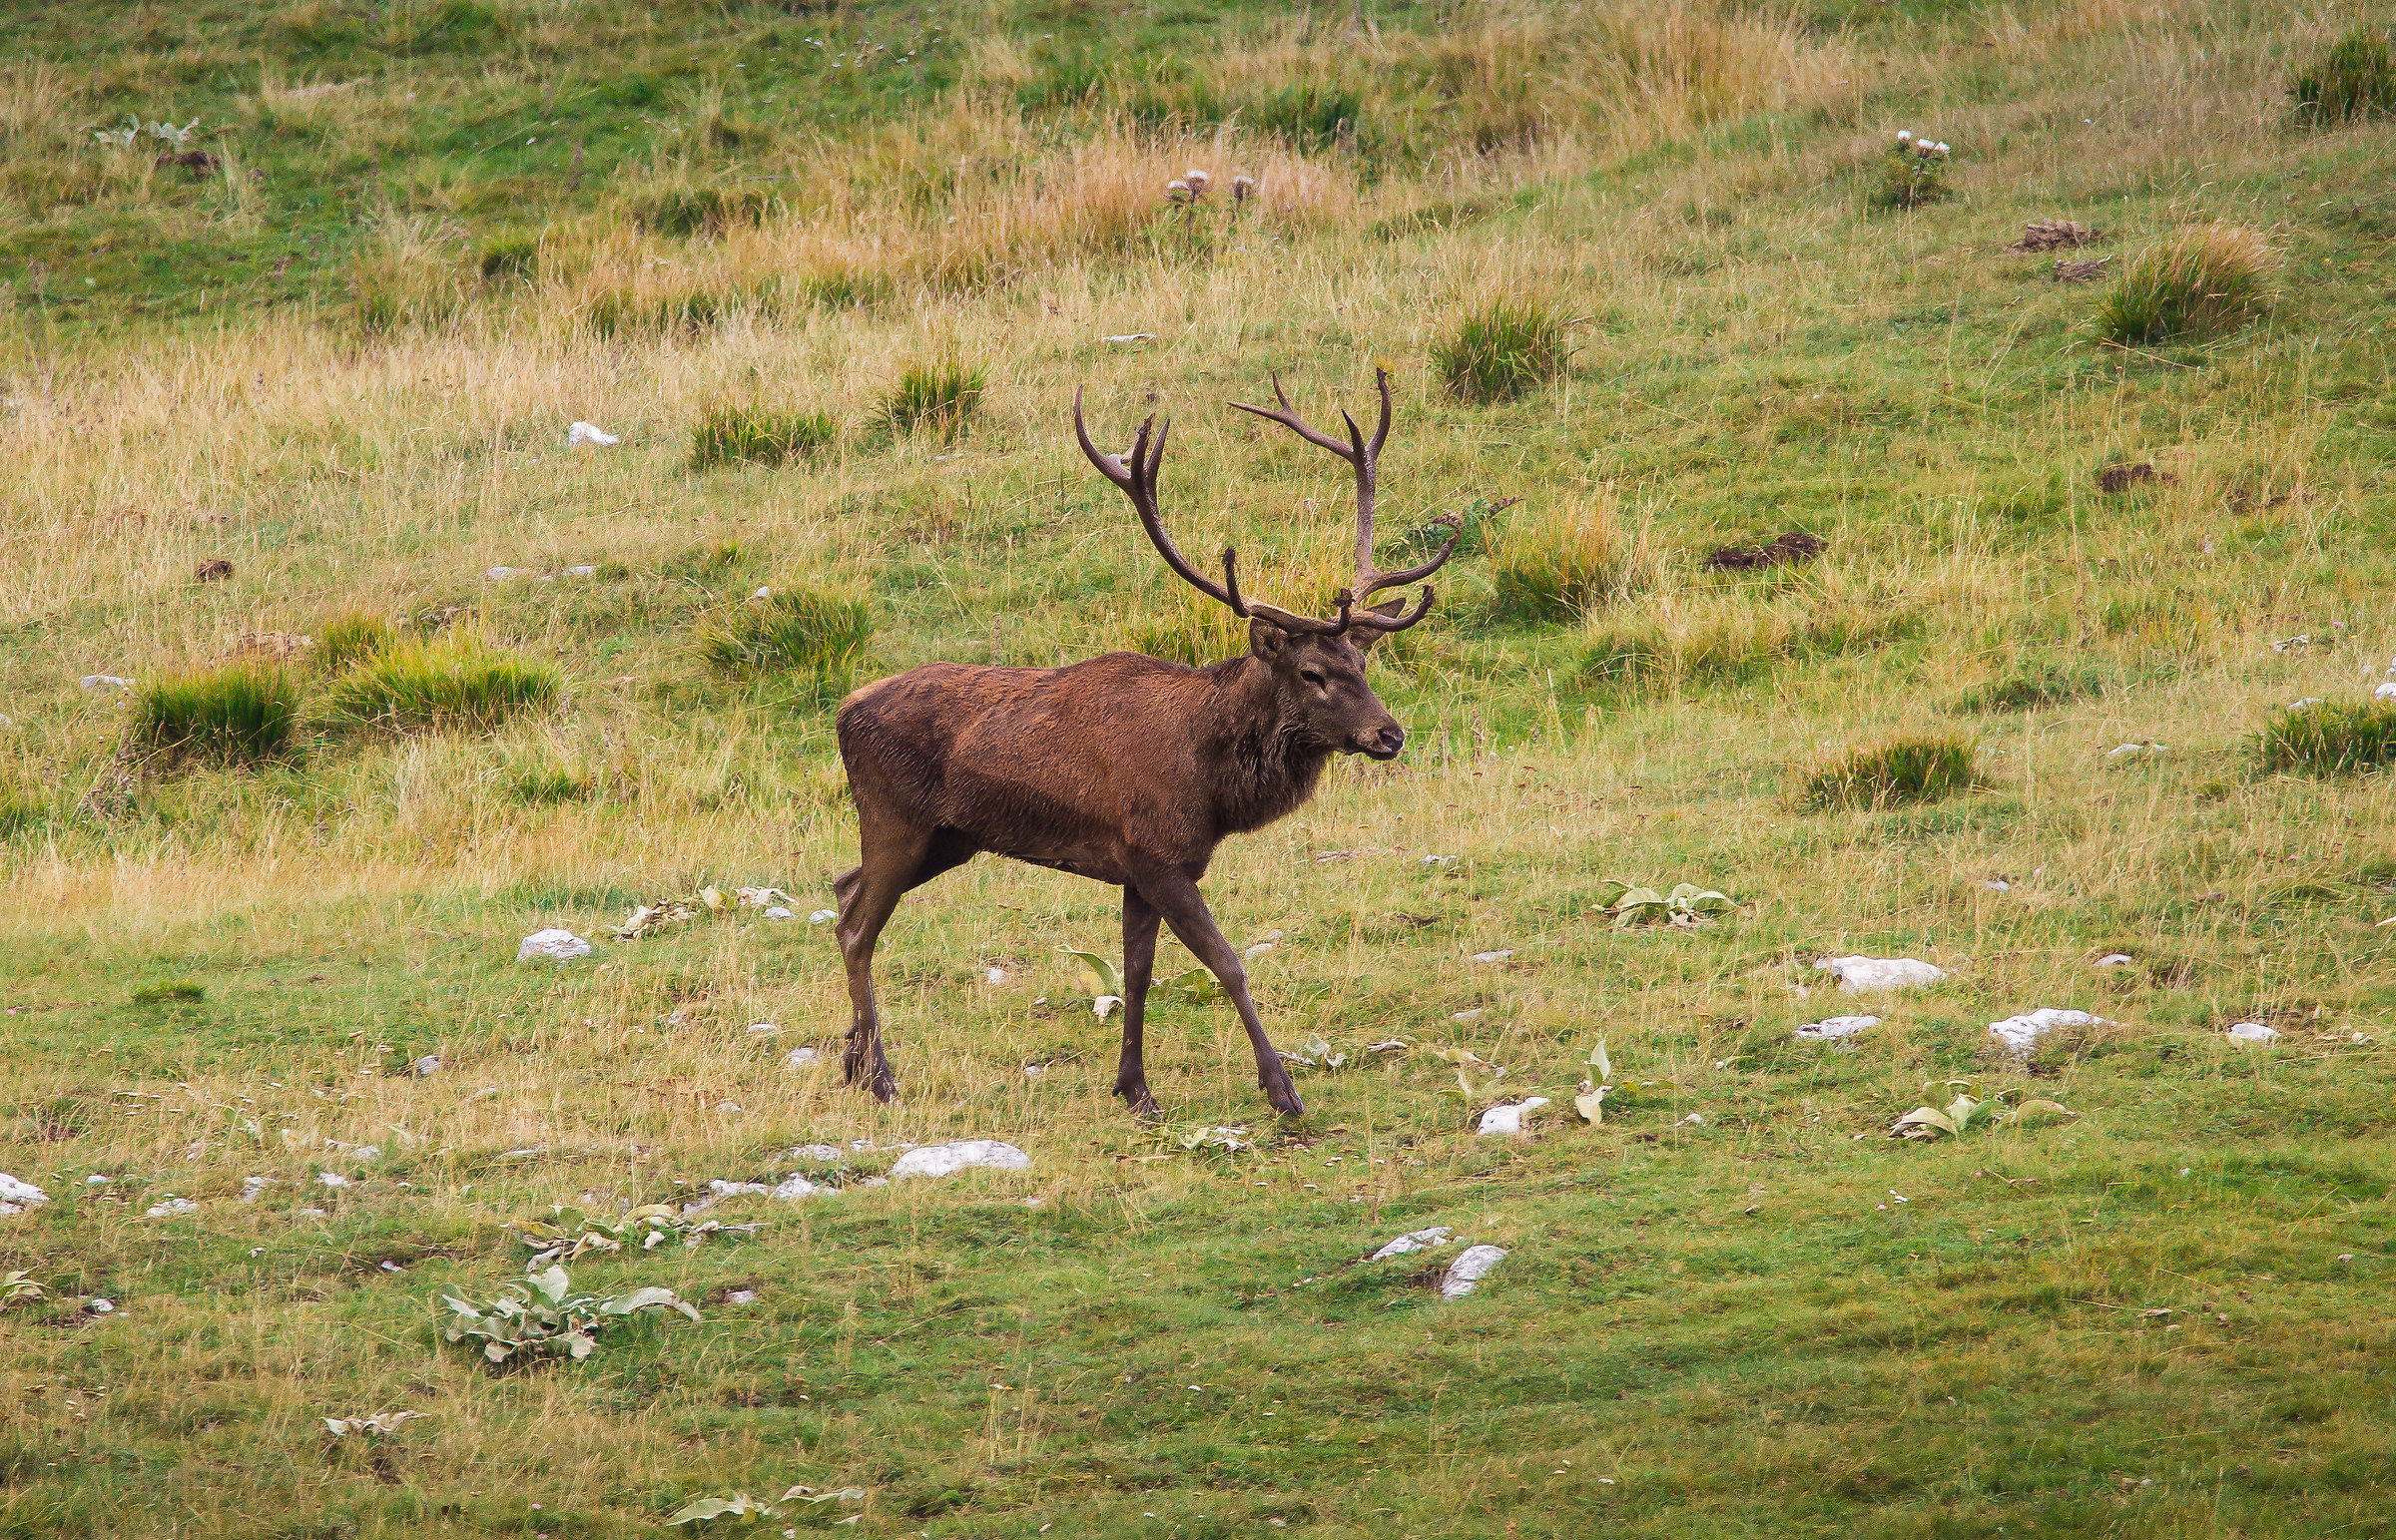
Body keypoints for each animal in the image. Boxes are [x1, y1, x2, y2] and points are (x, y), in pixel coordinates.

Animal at [829, 368, 1458, 1118]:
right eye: (1312, 673)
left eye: (1363, 662)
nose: (1389, 734)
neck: (1210, 785)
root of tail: (842, 712)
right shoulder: (1158, 856)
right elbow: (1227, 963)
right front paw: (1281, 1088)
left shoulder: (1139, 866)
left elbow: (1136, 972)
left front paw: (1133, 1086)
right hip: (897, 819)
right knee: (859, 928)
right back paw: (881, 1077)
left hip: (949, 838)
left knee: (841, 894)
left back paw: (852, 1060)